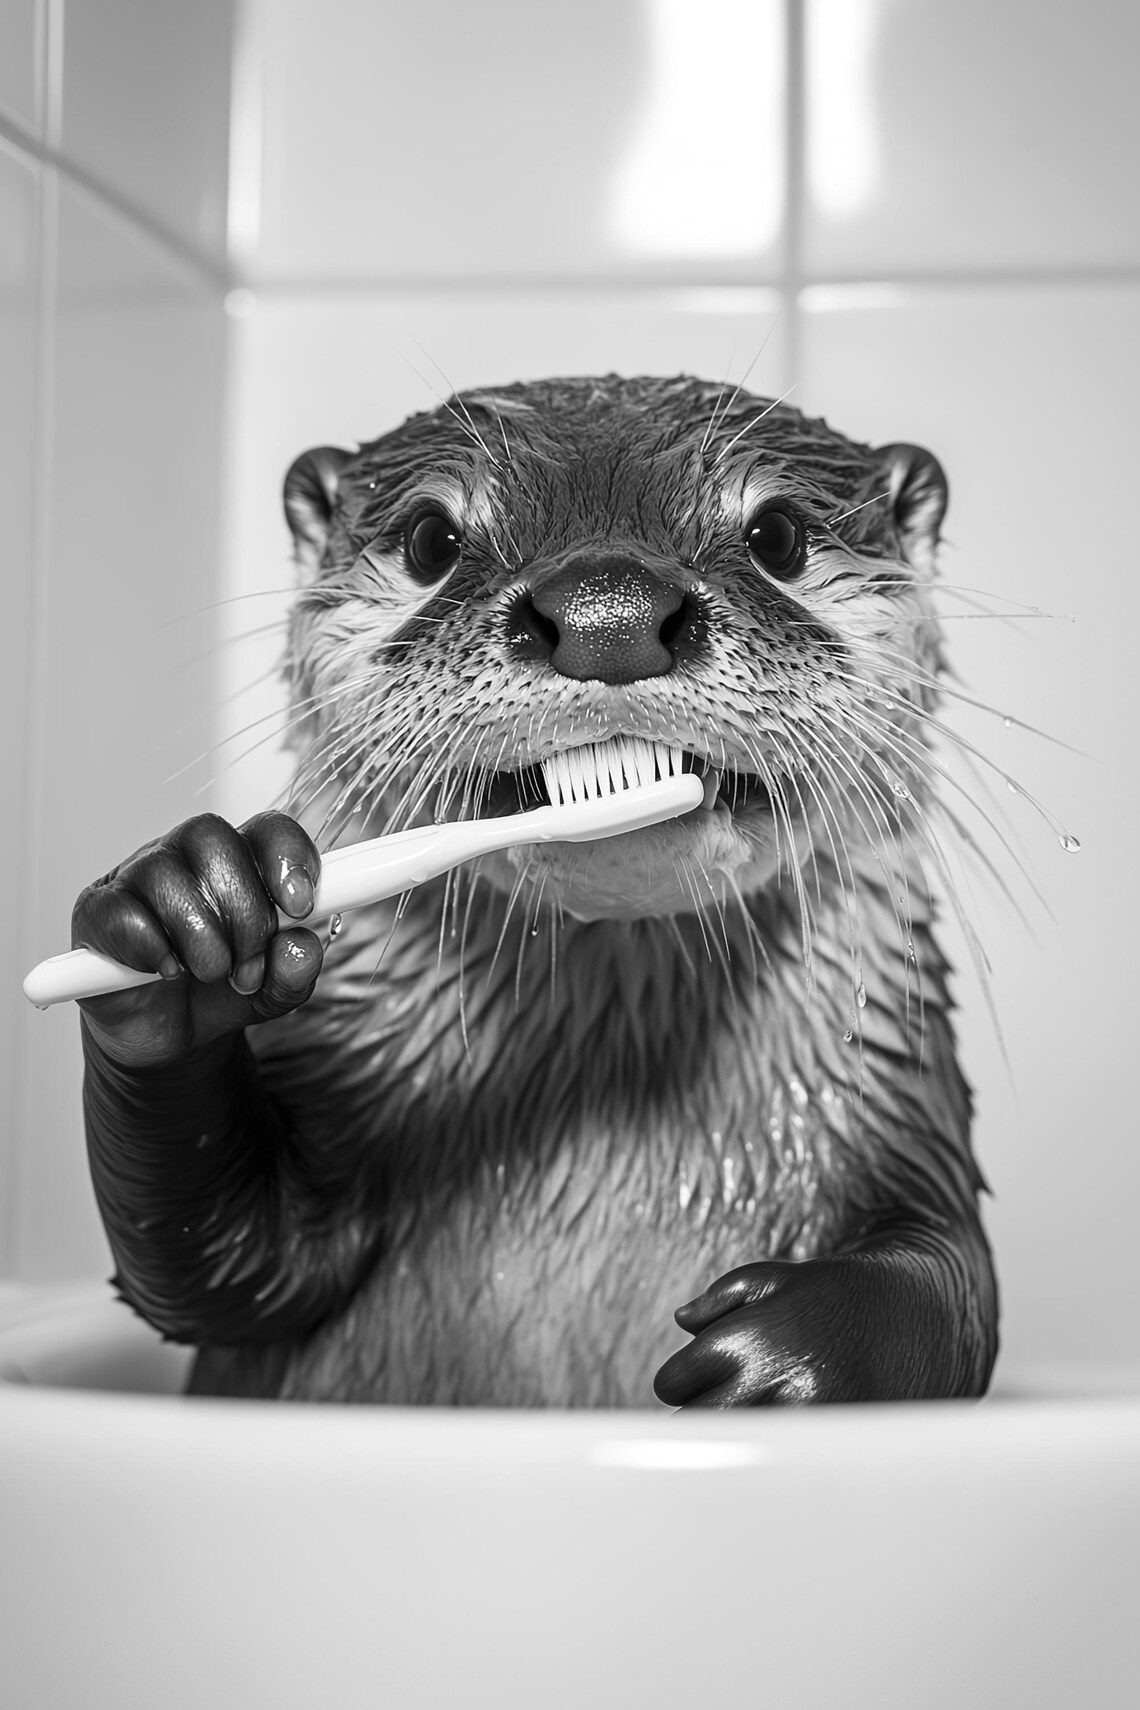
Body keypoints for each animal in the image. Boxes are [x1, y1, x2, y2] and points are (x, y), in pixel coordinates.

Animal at [74, 374, 998, 1407]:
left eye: (779, 535)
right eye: (432, 539)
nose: (609, 614)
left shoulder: (902, 1101)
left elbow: (948, 1284)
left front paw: (779, 1356)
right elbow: (219, 1269)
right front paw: (183, 915)